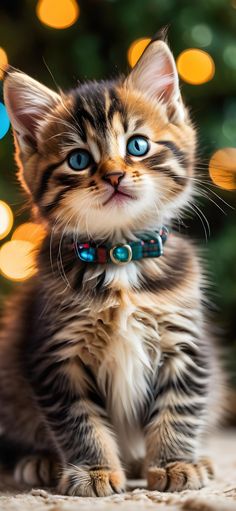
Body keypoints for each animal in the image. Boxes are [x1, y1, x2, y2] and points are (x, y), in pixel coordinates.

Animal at [0, 39, 216, 496]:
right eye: (79, 160)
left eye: (137, 146)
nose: (115, 175)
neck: (121, 257)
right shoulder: (57, 354)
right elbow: (80, 421)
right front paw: (94, 471)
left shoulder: (184, 342)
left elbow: (179, 408)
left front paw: (175, 464)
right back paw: (40, 461)